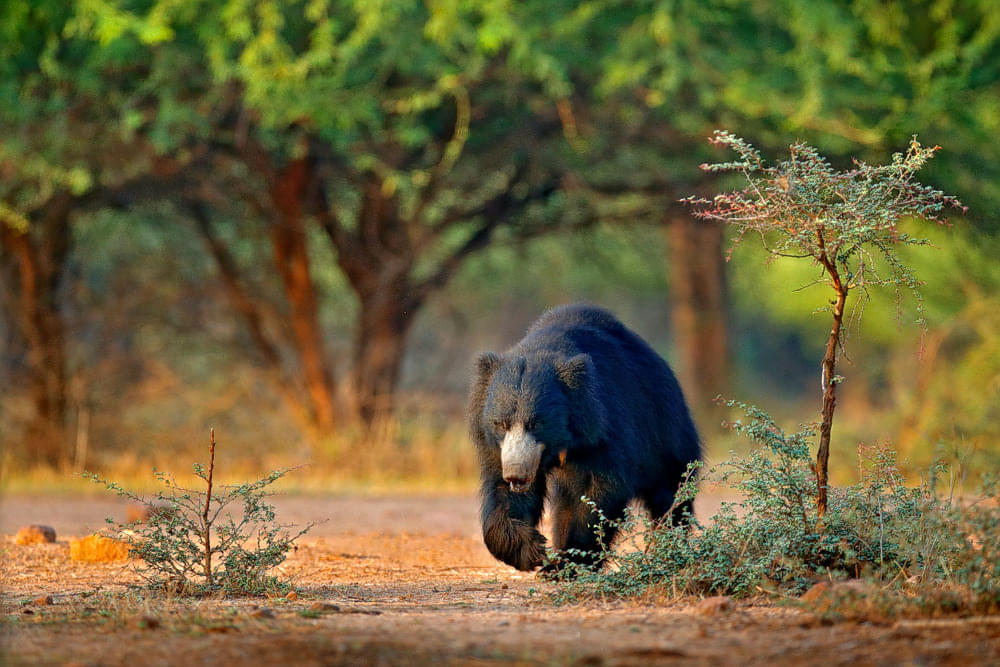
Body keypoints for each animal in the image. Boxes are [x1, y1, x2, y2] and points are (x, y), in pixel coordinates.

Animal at [470, 306, 700, 572]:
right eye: (500, 424)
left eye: (537, 423)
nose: (516, 474)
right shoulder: (498, 447)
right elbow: (502, 492)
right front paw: (531, 550)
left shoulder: (603, 429)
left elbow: (596, 493)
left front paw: (565, 564)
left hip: (665, 431)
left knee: (670, 491)